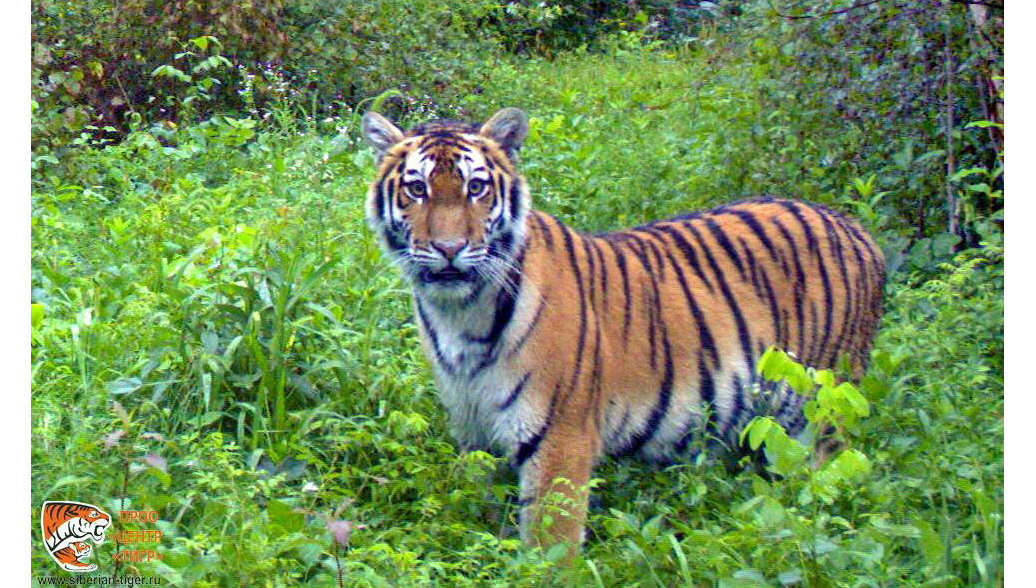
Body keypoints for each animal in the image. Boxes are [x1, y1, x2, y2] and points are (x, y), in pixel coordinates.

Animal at [360, 106, 886, 554]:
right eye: (417, 189)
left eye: (476, 188)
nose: (449, 249)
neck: (460, 315)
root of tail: (859, 230)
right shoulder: (474, 436)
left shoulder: (560, 439)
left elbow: (549, 549)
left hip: (821, 412)